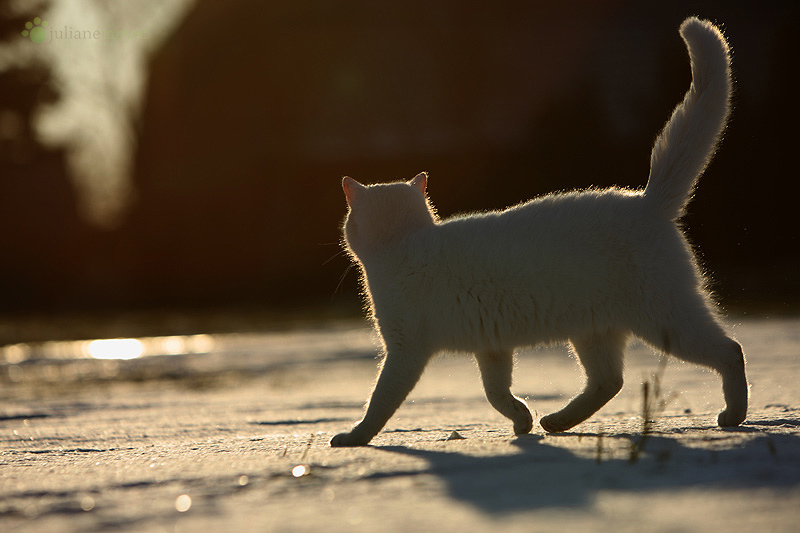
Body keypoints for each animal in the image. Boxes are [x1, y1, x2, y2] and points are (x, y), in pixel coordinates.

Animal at [332, 17, 752, 444]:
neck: (400, 242)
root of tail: (648, 200)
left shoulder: (405, 350)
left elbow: (381, 400)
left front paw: (354, 437)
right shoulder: (493, 348)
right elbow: (496, 392)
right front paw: (522, 422)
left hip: (664, 318)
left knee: (731, 350)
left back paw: (733, 415)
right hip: (595, 329)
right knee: (608, 381)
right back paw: (556, 422)